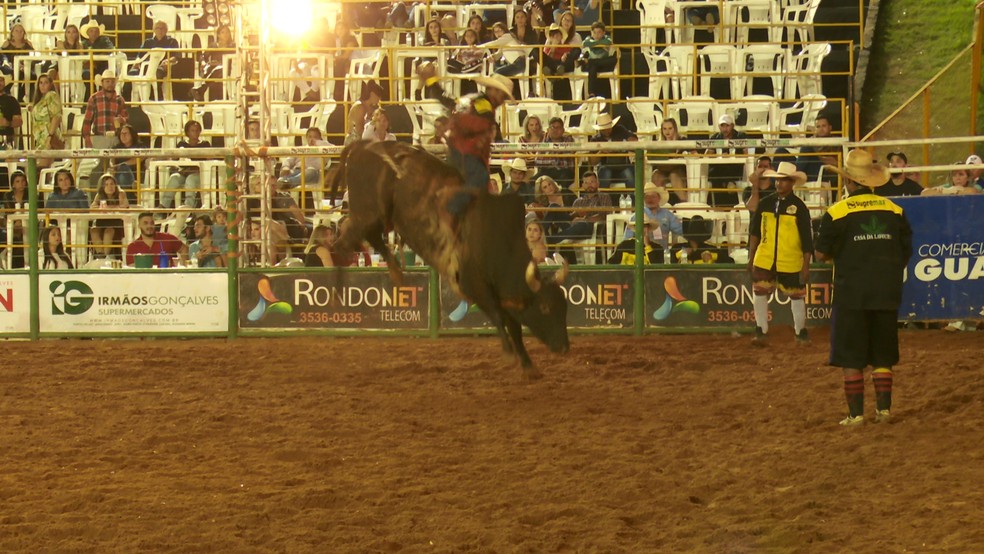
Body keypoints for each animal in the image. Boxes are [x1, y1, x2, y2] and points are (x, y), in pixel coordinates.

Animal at [328, 140, 568, 378]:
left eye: (563, 305)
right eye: (545, 307)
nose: (564, 346)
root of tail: (364, 144)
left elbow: (514, 326)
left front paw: (528, 364)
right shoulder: (473, 285)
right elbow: (500, 317)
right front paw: (510, 354)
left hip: (374, 218)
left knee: (363, 239)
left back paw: (393, 272)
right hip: (367, 214)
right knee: (340, 245)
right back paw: (338, 295)